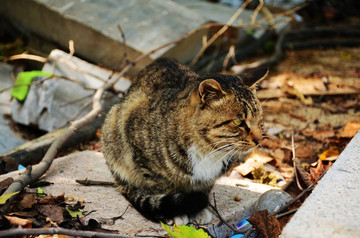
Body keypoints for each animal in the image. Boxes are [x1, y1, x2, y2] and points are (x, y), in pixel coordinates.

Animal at [101, 58, 268, 225]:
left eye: (259, 119)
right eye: (238, 122)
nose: (259, 139)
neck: (207, 149)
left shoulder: (207, 179)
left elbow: (204, 187)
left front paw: (198, 210)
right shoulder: (146, 160)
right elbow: (162, 186)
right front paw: (175, 213)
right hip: (113, 125)